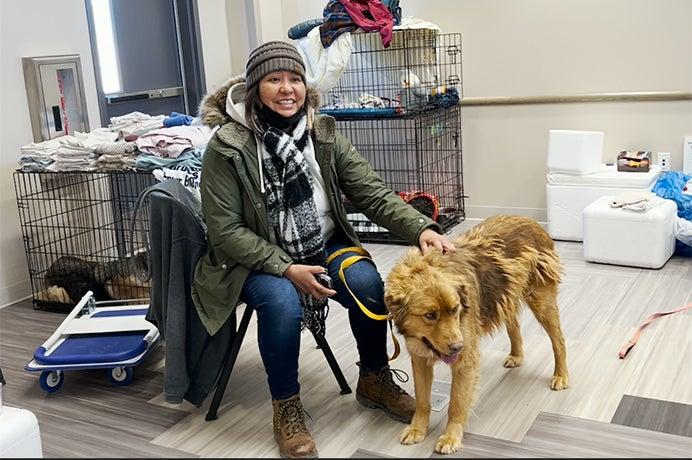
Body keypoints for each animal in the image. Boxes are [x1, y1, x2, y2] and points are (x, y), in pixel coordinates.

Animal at [384, 216, 568, 452]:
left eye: (455, 309)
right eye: (430, 315)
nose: (457, 347)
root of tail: (531, 221)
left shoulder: (465, 361)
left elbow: (456, 403)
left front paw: (451, 436)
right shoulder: (420, 359)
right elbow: (422, 400)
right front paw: (417, 429)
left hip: (541, 302)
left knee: (558, 340)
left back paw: (561, 375)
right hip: (506, 295)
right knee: (514, 325)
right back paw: (517, 355)